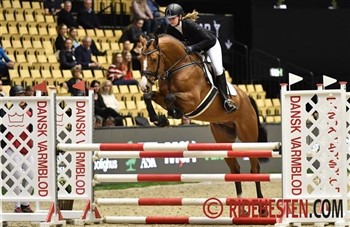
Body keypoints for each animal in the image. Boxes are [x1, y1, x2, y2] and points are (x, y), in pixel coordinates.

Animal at [138, 33, 270, 215]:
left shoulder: (193, 99)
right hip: (223, 138)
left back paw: (262, 209)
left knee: (255, 168)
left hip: (248, 137)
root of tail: (248, 98)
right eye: (139, 58)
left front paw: (173, 113)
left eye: (154, 58)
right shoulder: (161, 95)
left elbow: (170, 97)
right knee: (235, 168)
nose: (143, 85)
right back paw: (241, 208)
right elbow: (150, 97)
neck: (177, 67)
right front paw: (160, 119)